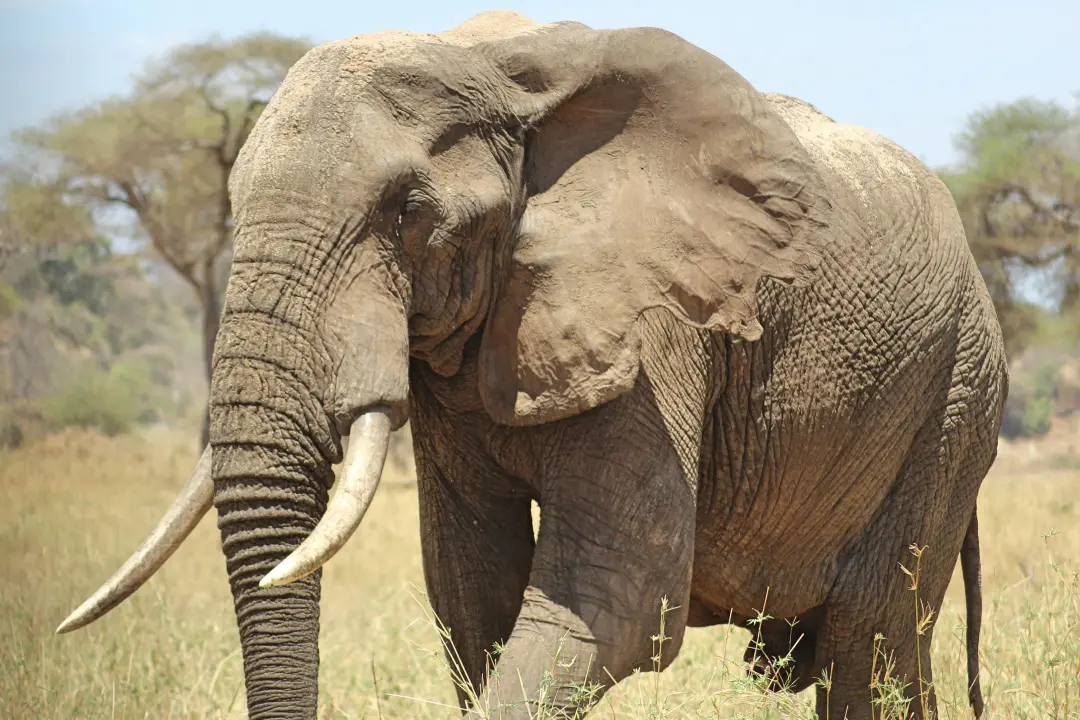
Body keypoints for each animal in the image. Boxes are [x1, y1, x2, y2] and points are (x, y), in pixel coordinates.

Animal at [57, 10, 1007, 720]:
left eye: (406, 210)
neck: (487, 64)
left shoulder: (654, 326)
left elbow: (616, 596)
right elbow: (474, 590)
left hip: (953, 397)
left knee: (868, 639)